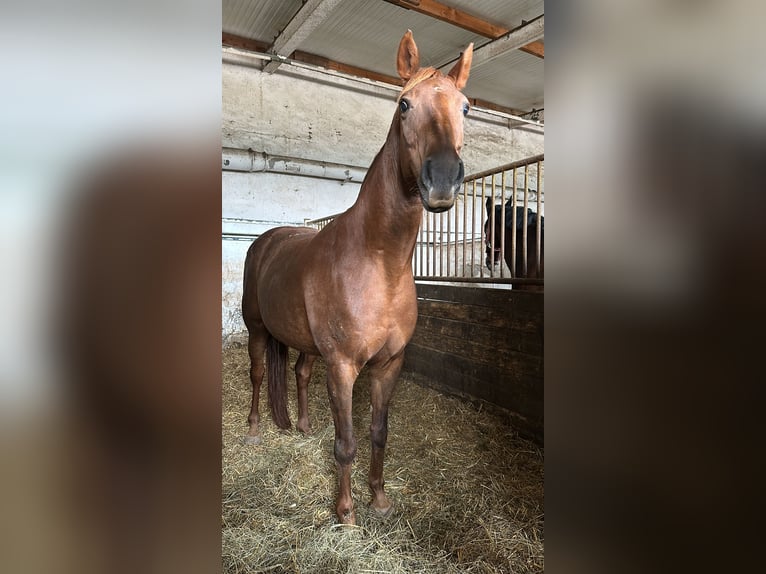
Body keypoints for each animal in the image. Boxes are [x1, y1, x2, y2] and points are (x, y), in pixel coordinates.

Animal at [242, 32, 474, 528]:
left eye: (465, 107)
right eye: (404, 104)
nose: (443, 179)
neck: (379, 263)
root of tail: (266, 240)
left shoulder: (389, 365)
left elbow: (379, 433)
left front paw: (379, 500)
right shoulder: (344, 366)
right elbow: (346, 443)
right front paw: (346, 514)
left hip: (307, 345)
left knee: (299, 373)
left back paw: (303, 426)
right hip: (257, 330)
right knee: (256, 375)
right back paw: (253, 431)